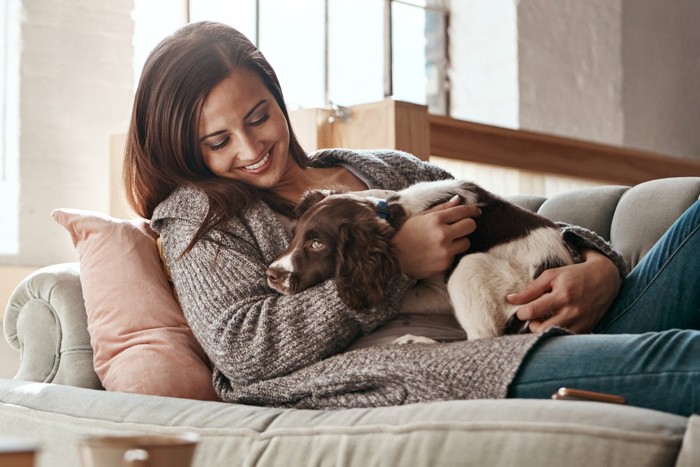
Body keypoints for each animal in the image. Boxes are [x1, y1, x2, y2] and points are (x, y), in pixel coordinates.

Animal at [268, 180, 576, 340]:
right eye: (293, 237)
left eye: (317, 244)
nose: (271, 274)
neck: (394, 214)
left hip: (470, 269)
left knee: (482, 338)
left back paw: (416, 340)